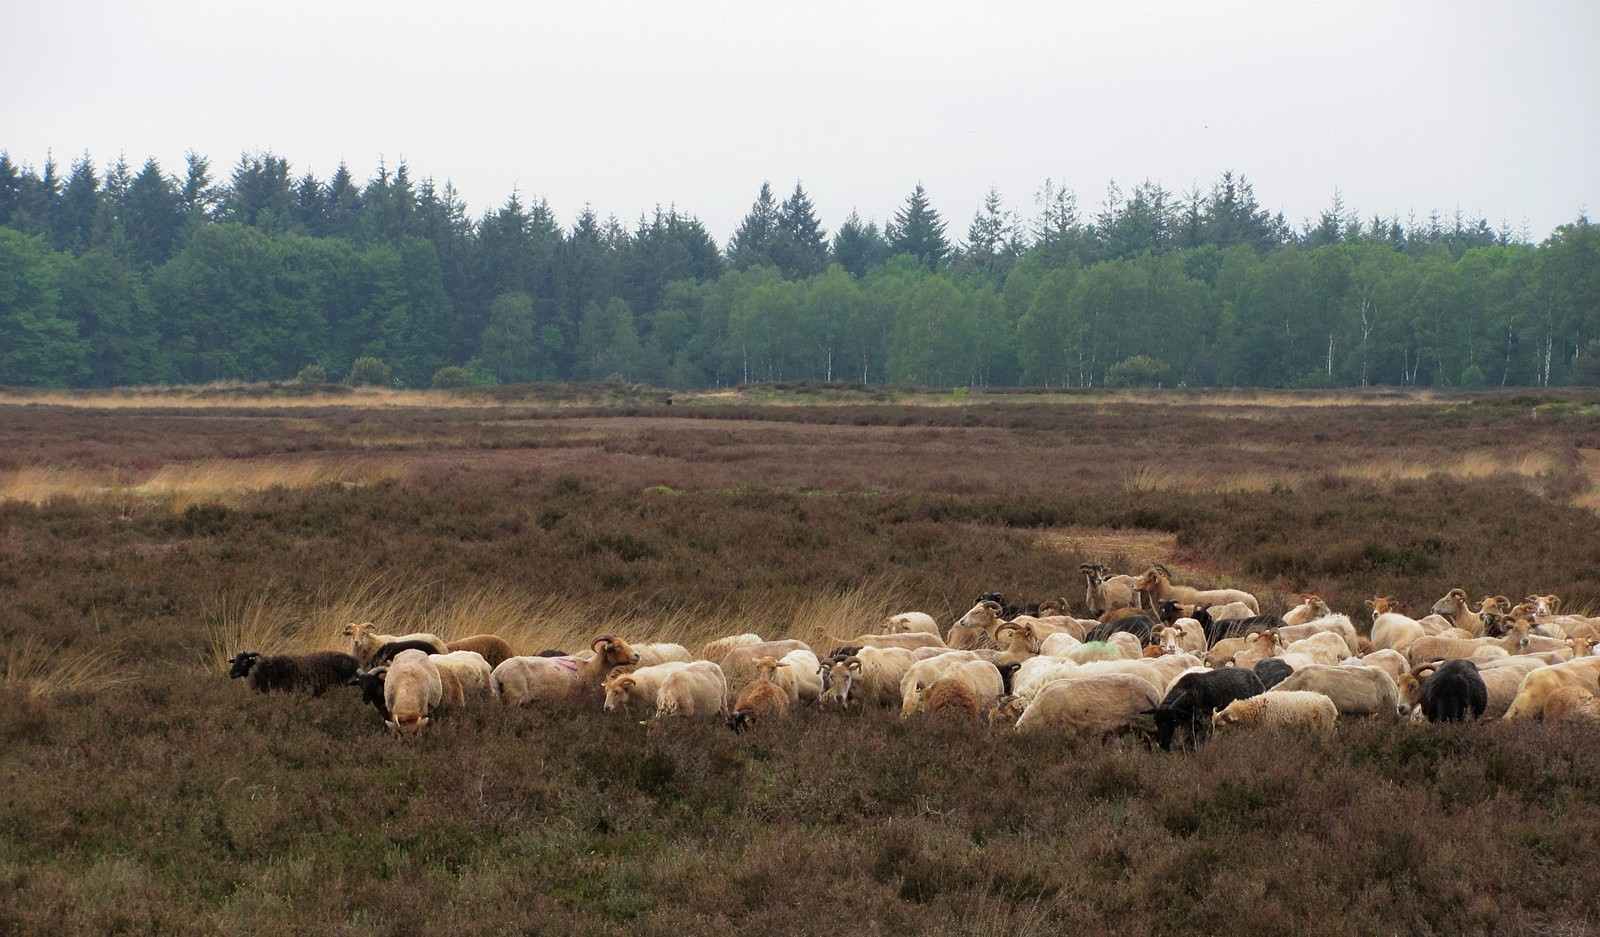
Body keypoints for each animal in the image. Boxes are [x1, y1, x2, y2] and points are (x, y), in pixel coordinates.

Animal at [491, 635, 640, 707]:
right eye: (617, 646)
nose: (637, 655)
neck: (591, 667)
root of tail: (498, 672)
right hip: (515, 697)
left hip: (499, 697)